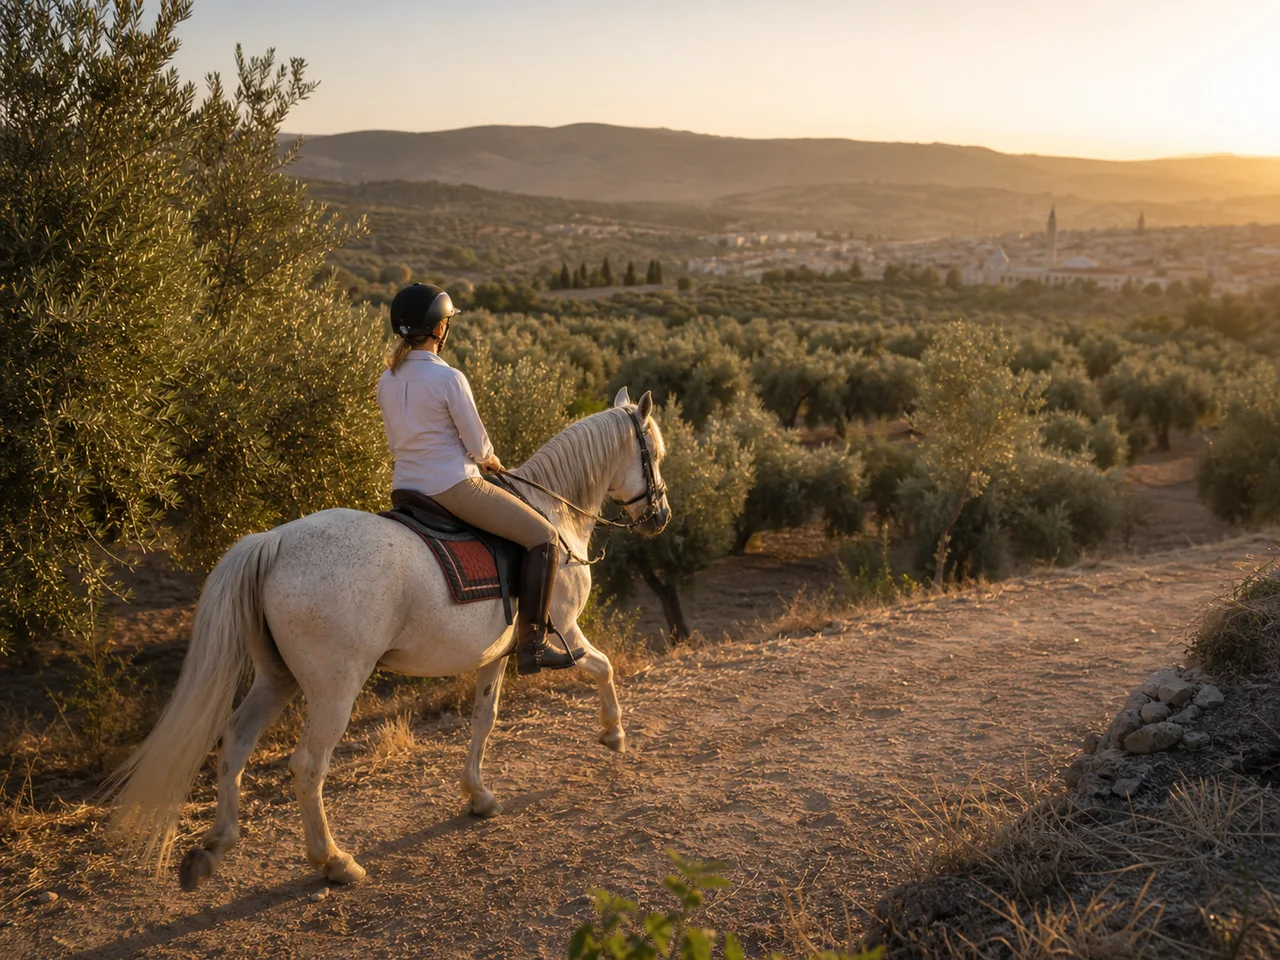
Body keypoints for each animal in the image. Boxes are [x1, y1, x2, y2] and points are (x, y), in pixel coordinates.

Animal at [109, 387, 669, 890]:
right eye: (656, 455)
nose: (660, 518)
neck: (554, 514)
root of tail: (275, 541)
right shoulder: (567, 629)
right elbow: (603, 667)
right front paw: (614, 734)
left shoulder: (495, 655)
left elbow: (484, 719)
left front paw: (478, 796)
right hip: (333, 689)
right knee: (308, 766)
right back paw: (334, 862)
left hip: (276, 677)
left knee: (235, 741)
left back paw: (213, 849)